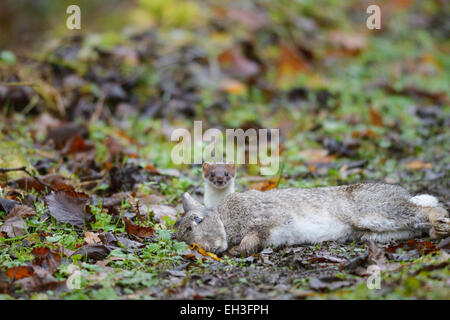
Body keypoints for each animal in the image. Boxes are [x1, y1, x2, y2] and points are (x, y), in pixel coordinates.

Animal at [177, 182, 450, 258]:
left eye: (198, 221)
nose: (209, 248)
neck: (223, 219)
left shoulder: (263, 221)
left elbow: (252, 238)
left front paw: (235, 251)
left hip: (376, 212)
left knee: (426, 210)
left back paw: (440, 223)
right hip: (374, 231)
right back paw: (436, 232)